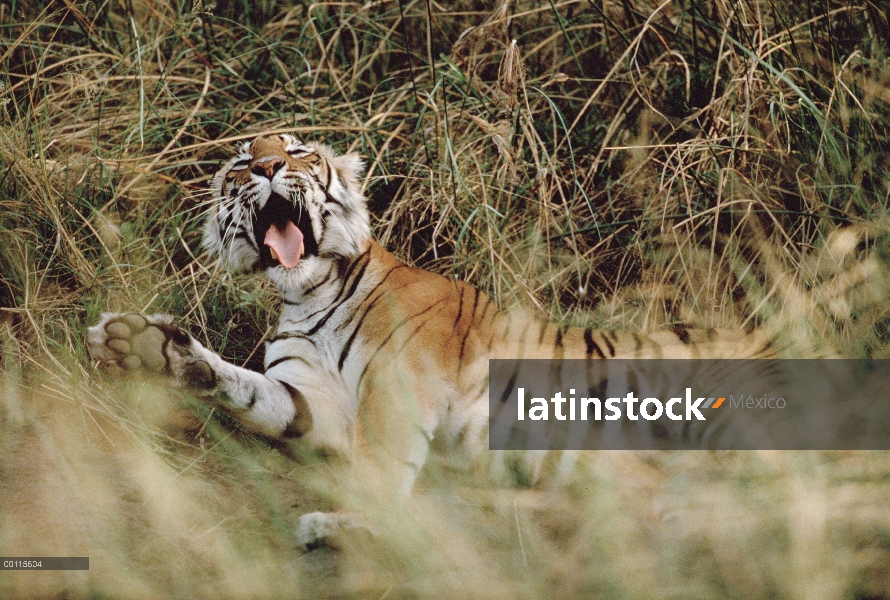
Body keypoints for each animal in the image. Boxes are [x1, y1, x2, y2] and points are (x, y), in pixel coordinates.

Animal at [85, 134, 776, 548]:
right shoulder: (318, 401)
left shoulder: (395, 382)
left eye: (300, 152)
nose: (267, 165)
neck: (307, 295)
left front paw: (350, 522)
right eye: (239, 165)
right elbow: (253, 393)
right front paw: (146, 349)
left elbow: (381, 465)